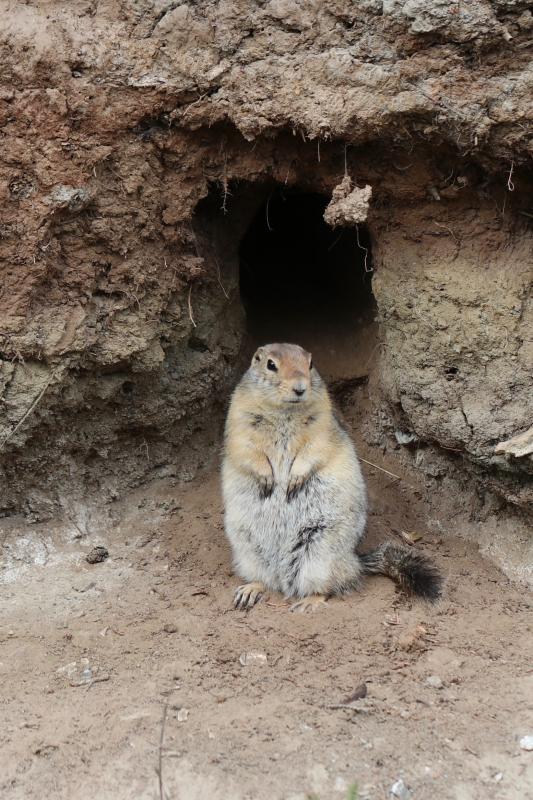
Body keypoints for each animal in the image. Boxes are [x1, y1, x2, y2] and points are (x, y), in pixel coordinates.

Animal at [220, 340, 440, 608]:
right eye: (271, 365)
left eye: (310, 363)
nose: (300, 388)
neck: (285, 412)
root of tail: (354, 561)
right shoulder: (239, 416)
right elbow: (246, 448)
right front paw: (267, 478)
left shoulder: (323, 421)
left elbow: (315, 447)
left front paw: (293, 479)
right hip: (249, 551)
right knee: (267, 581)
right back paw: (250, 590)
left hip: (320, 554)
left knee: (330, 586)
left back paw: (309, 602)